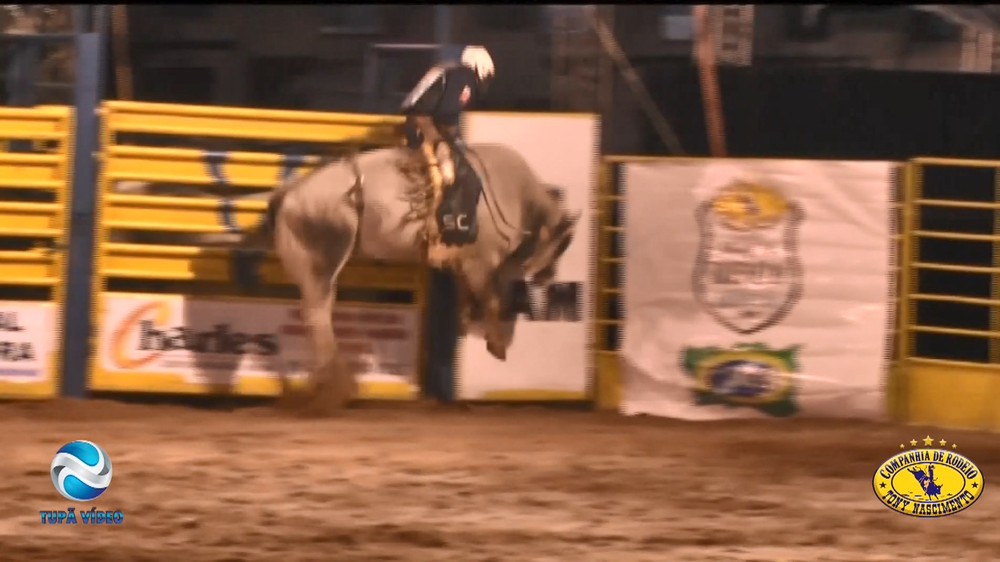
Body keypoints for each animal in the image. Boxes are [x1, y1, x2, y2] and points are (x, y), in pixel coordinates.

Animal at [111, 140, 580, 412]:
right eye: (561, 245)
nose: (548, 277)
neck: (510, 192)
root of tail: (288, 194)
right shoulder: (483, 259)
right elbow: (492, 296)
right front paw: (497, 341)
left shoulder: (467, 264)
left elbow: (474, 296)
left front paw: (472, 326)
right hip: (324, 258)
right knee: (318, 314)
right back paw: (338, 387)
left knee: (316, 316)